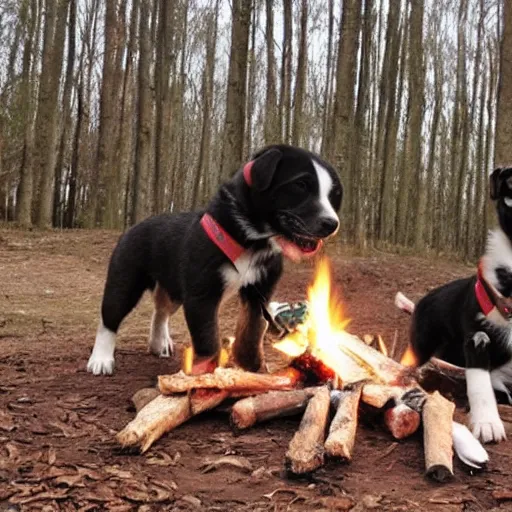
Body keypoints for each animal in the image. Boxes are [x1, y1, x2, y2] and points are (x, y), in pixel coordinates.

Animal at [87, 144, 344, 376]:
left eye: (332, 195)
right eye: (300, 185)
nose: (331, 224)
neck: (252, 241)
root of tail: (135, 226)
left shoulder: (259, 293)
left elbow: (252, 332)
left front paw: (253, 369)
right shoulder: (201, 296)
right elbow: (208, 340)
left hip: (174, 289)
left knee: (160, 311)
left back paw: (159, 342)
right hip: (125, 279)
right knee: (109, 318)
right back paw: (101, 360)